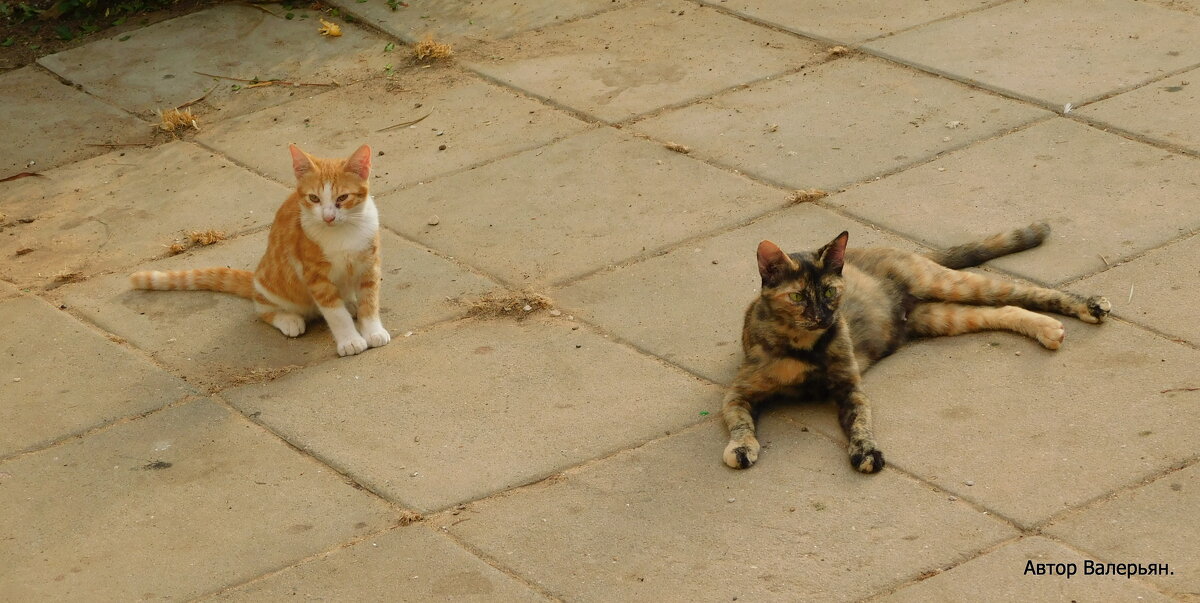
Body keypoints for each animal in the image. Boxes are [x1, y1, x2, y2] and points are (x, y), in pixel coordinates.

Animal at [131, 142, 393, 355]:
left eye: (342, 198)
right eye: (314, 199)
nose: (328, 217)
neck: (343, 234)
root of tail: (256, 278)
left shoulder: (369, 264)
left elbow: (370, 301)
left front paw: (372, 331)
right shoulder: (315, 276)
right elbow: (335, 313)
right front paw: (350, 340)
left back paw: (350, 303)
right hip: (273, 284)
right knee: (261, 308)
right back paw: (289, 319)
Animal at [715, 223, 1108, 473]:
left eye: (829, 291)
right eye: (797, 297)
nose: (823, 316)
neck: (804, 349)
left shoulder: (850, 388)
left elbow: (861, 422)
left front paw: (866, 450)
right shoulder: (739, 392)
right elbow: (741, 423)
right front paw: (741, 447)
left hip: (947, 284)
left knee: (1024, 291)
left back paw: (1088, 306)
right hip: (941, 316)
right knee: (1004, 310)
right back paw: (1047, 328)